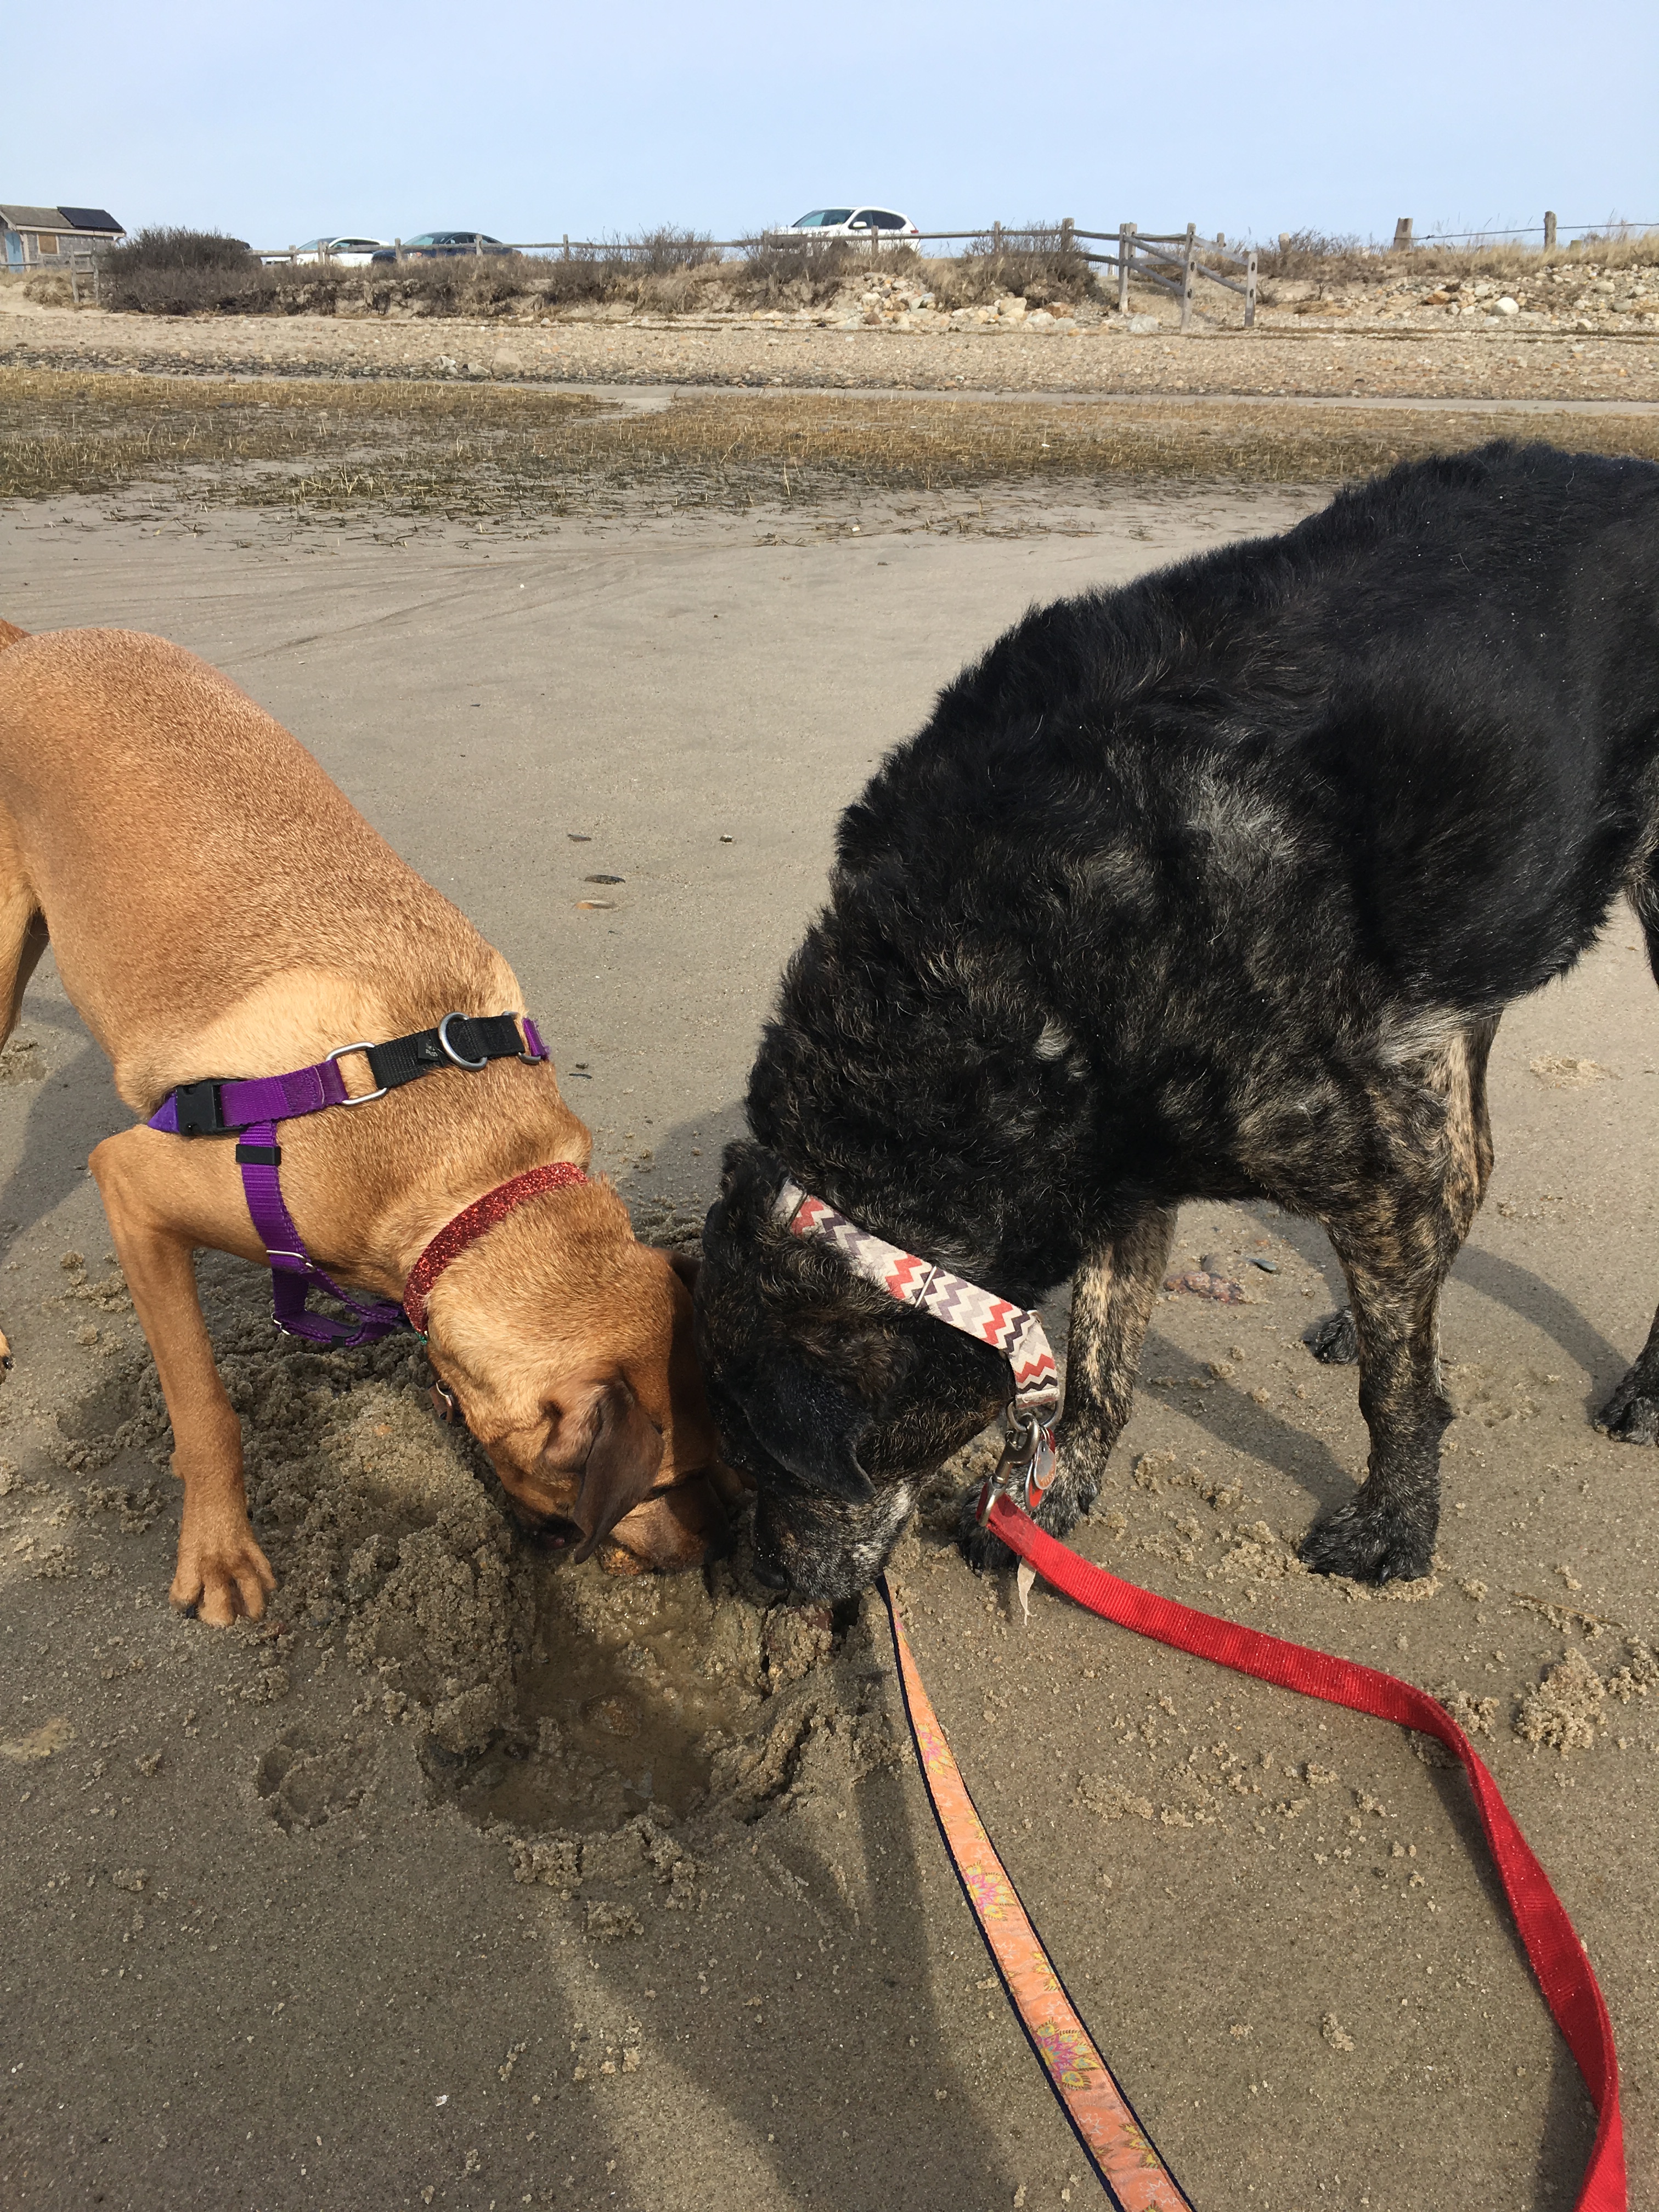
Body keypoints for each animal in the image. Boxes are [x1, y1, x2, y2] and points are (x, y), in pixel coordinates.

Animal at [0, 621, 733, 1623]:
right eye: (666, 1484)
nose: (715, 1555)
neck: (473, 1180)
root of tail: (33, 644)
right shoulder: (134, 1186)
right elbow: (204, 1407)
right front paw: (219, 1551)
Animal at [695, 441, 1659, 1603]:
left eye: (760, 1459)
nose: (753, 1585)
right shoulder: (1123, 1167)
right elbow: (1099, 1369)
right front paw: (1047, 1507)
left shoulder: (1364, 1168)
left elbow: (1393, 1397)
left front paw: (1392, 1522)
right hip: (1459, 967)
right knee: (1465, 1165)